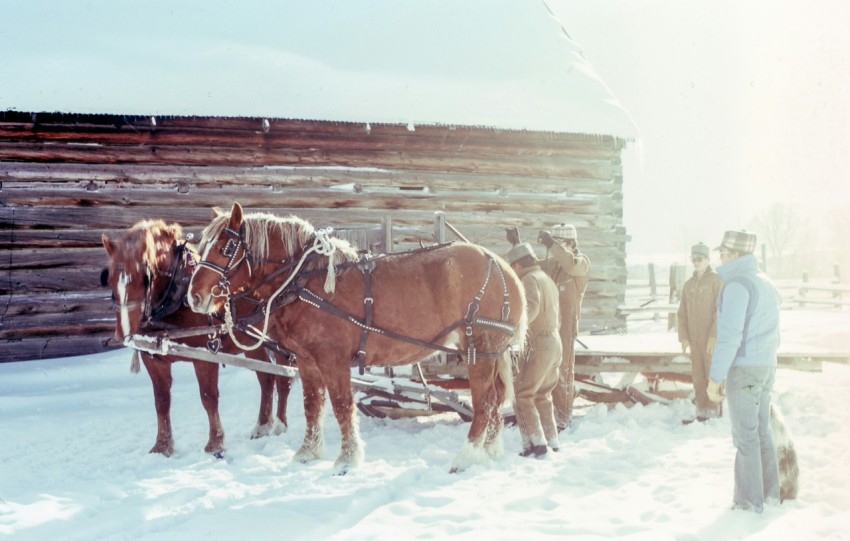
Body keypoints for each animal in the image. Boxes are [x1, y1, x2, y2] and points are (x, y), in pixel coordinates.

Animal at [101, 219, 294, 457]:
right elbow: (161, 401)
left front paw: (215, 444)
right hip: (251, 342)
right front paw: (162, 446)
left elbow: (208, 397)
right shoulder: (153, 359)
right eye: (108, 278)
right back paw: (262, 427)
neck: (176, 297)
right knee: (266, 379)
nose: (124, 333)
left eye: (144, 278)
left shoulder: (205, 356)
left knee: (284, 380)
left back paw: (280, 426)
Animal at [186, 202, 527, 473]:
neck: (305, 281)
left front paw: (347, 460)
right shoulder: (307, 360)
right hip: (491, 353)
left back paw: (467, 456)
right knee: (496, 400)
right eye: (200, 247)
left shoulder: (333, 359)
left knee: (484, 402)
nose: (195, 297)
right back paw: (490, 451)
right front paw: (307, 453)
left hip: (478, 349)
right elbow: (313, 405)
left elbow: (341, 405)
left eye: (225, 248)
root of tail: (501, 266)